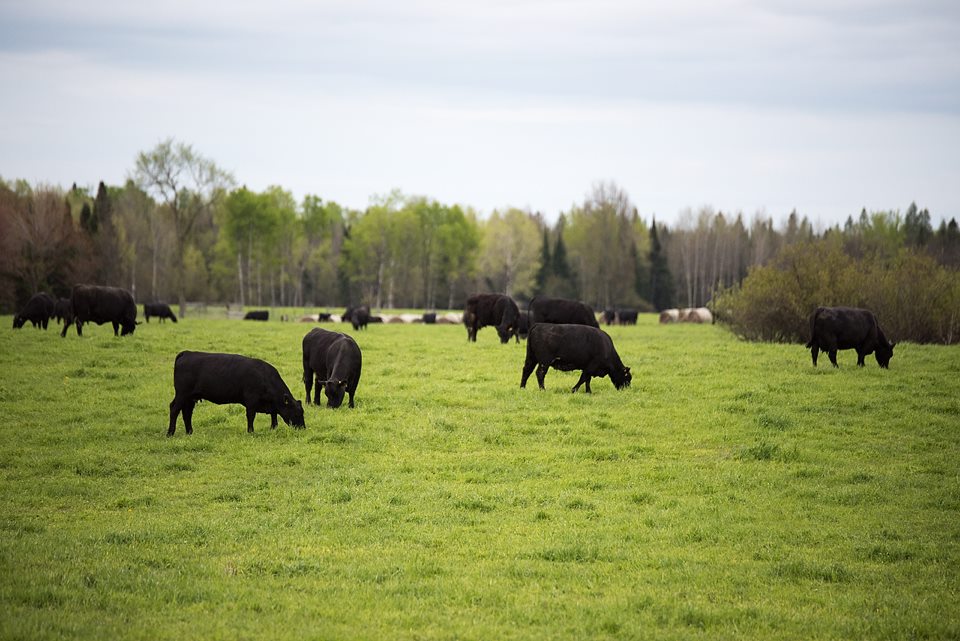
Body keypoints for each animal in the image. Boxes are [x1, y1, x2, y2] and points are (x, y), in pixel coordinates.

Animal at [168, 351, 305, 435]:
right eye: (297, 413)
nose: (303, 428)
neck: (264, 377)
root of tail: (187, 353)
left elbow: (274, 415)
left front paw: (273, 428)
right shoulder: (251, 401)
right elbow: (251, 416)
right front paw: (251, 431)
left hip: (190, 398)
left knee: (187, 413)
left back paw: (189, 432)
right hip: (182, 394)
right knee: (174, 409)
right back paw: (170, 433)